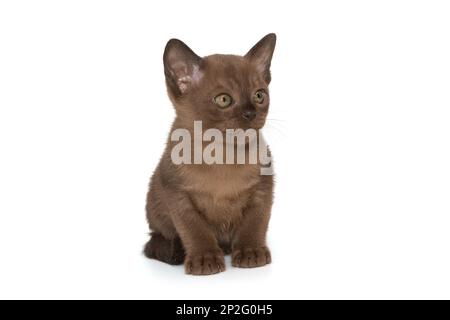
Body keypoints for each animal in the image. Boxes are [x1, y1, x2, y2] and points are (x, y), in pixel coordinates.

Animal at [144, 34, 278, 276]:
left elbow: (254, 224)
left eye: (259, 96)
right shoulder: (177, 194)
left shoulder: (262, 188)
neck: (222, 154)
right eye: (223, 100)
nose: (250, 113)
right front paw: (205, 259)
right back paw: (175, 251)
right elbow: (195, 230)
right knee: (156, 240)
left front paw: (251, 253)